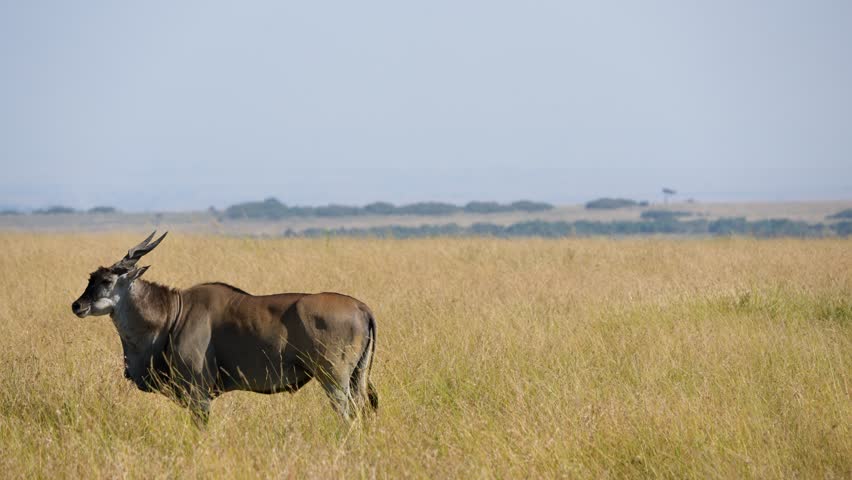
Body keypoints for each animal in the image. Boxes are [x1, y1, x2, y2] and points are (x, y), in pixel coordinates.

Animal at [71, 232, 378, 425]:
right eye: (90, 278)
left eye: (107, 281)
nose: (77, 305)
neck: (173, 314)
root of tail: (363, 308)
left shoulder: (199, 393)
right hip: (355, 379)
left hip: (334, 381)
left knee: (348, 418)